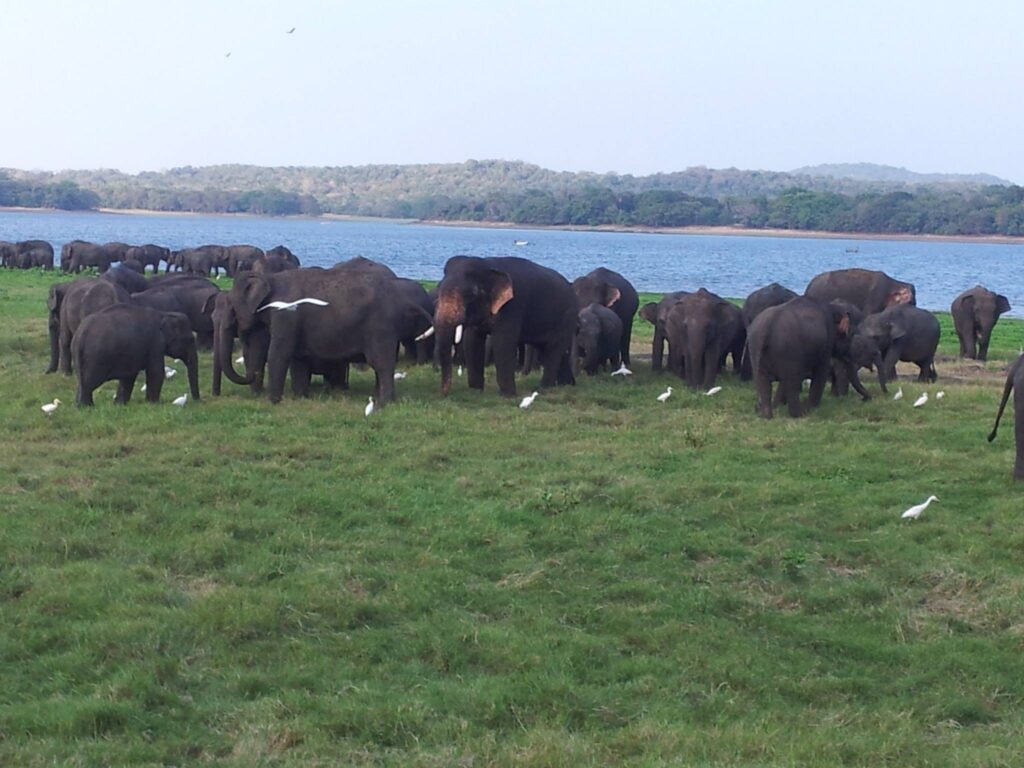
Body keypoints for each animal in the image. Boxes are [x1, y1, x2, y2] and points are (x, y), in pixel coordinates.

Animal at [72, 304, 200, 406]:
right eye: (190, 340)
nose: (197, 401)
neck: (164, 313)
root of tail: (81, 334)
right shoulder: (155, 343)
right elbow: (156, 372)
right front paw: (152, 404)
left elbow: (129, 376)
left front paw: (120, 404)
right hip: (96, 358)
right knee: (89, 382)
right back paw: (86, 407)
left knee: (83, 381)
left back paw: (81, 406)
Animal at [434, 255, 577, 397]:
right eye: (438, 289)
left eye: (470, 294)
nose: (444, 394)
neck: (487, 264)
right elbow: (472, 341)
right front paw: (475, 391)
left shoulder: (512, 307)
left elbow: (503, 344)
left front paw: (508, 396)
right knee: (556, 352)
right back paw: (566, 385)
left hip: (565, 319)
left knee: (553, 352)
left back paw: (543, 389)